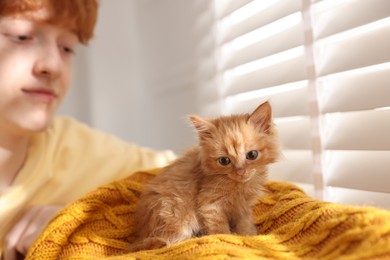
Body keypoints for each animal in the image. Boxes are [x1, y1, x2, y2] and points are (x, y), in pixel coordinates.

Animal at [129, 100, 278, 251]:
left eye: (252, 155)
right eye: (224, 161)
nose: (240, 171)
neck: (240, 187)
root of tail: (142, 234)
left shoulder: (243, 207)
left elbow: (245, 223)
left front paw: (249, 235)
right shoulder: (210, 204)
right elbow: (220, 229)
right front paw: (228, 239)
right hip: (175, 213)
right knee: (171, 241)